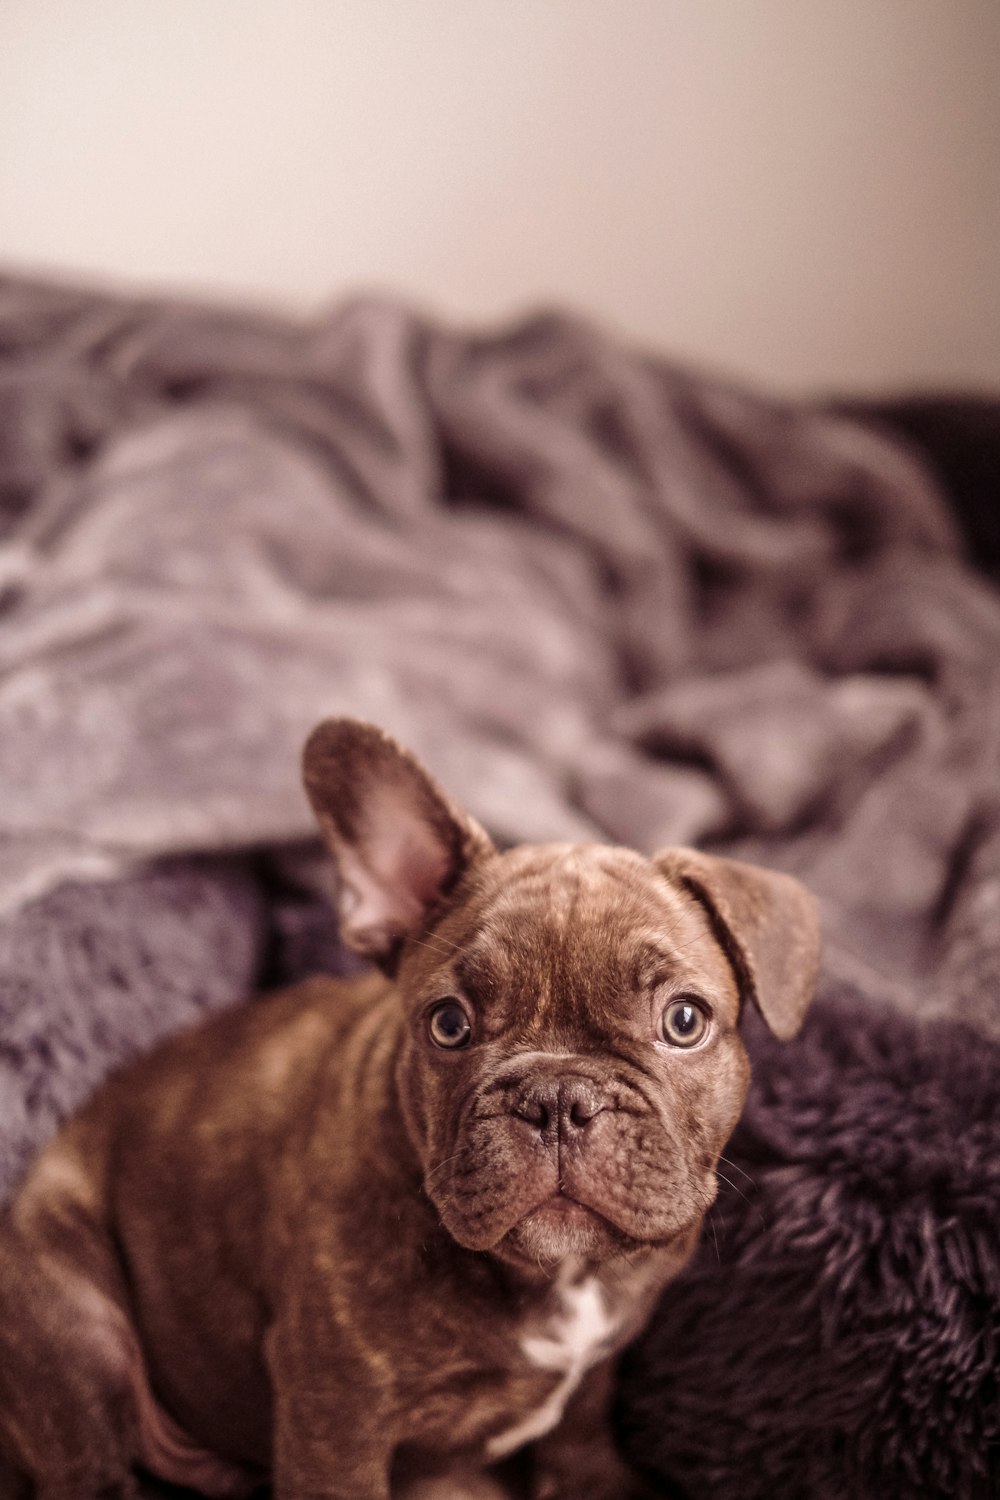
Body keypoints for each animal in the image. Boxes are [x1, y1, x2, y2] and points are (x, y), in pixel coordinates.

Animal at [0, 720, 821, 1494]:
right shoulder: (336, 1412)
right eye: (448, 1025)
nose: (558, 1098)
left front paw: (596, 1482)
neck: (555, 1277)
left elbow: (581, 1425)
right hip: (72, 1319)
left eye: (684, 1021)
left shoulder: (599, 1363)